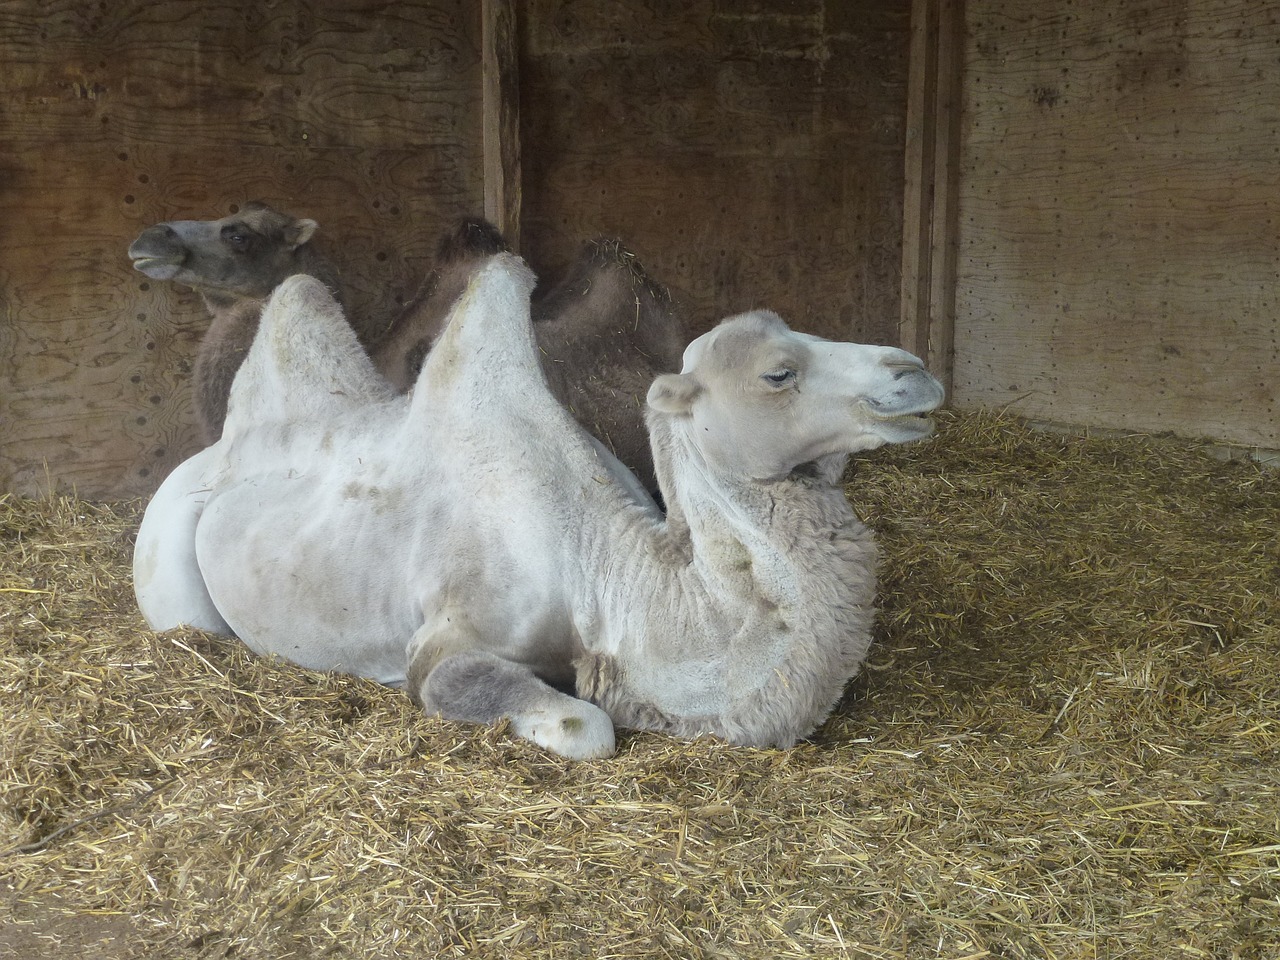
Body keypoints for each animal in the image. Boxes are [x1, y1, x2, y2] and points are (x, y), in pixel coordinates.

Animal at [135, 253, 947, 757]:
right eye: (779, 372)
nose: (915, 372)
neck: (603, 575)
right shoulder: (445, 643)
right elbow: (587, 725)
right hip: (167, 561)